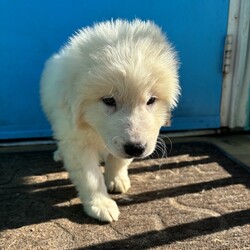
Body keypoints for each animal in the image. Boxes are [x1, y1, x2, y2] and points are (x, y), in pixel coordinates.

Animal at [40, 20, 180, 223]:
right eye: (108, 100)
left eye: (151, 100)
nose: (136, 148)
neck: (95, 129)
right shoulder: (76, 140)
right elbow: (90, 176)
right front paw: (100, 205)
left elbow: (119, 160)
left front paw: (116, 179)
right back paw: (59, 154)